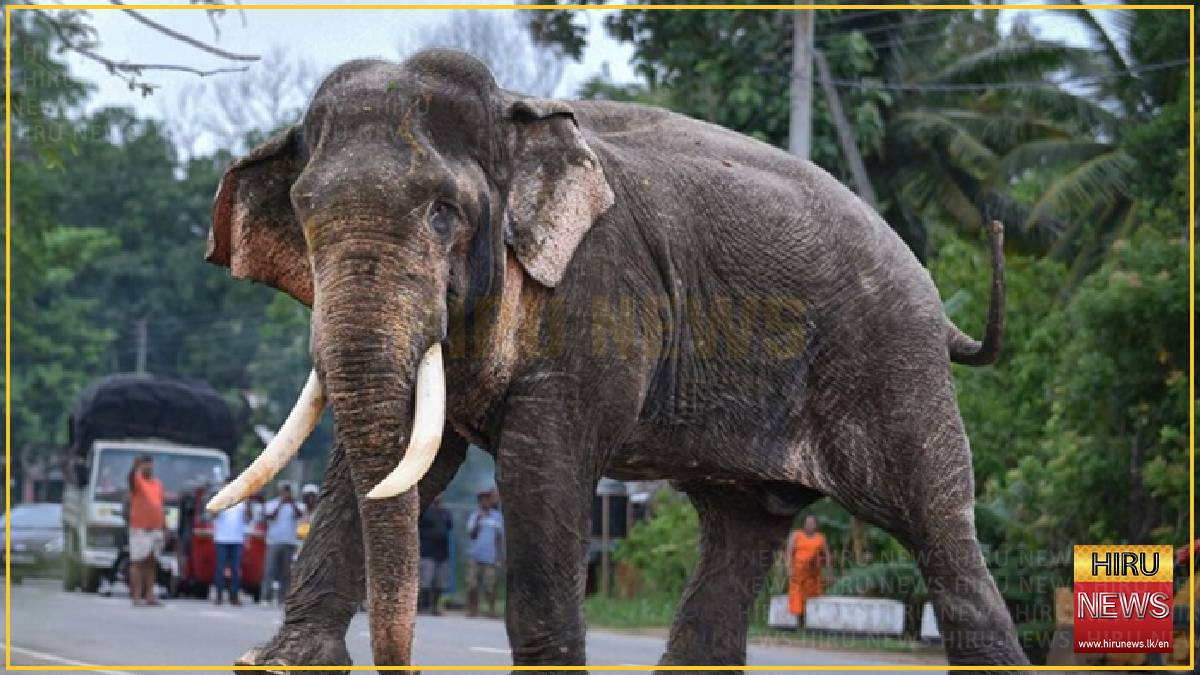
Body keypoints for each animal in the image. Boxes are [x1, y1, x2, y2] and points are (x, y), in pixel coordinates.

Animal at [204, 48, 1027, 672]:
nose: (398, 657)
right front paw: (283, 661)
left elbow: (540, 468)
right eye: (305, 211)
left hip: (893, 361)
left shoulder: (599, 295)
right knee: (741, 530)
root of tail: (939, 305)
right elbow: (400, 461)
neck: (517, 117)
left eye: (443, 212)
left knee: (939, 529)